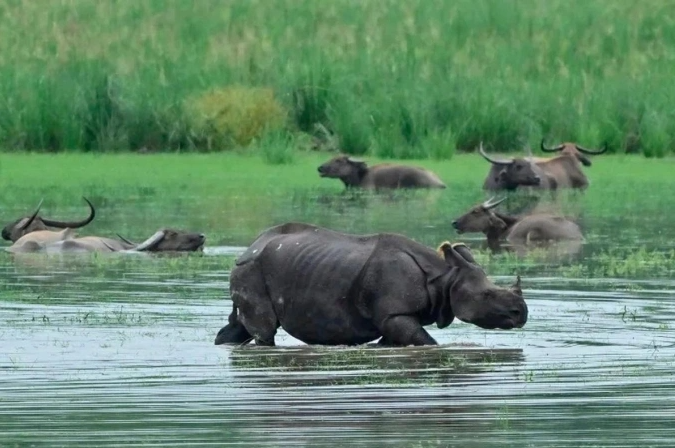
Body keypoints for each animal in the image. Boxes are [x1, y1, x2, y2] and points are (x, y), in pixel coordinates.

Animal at [214, 222, 527, 347]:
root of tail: (250, 248)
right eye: (487, 295)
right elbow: (428, 343)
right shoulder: (394, 314)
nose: (521, 313)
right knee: (264, 330)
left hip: (254, 268)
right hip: (252, 269)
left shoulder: (393, 317)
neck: (445, 277)